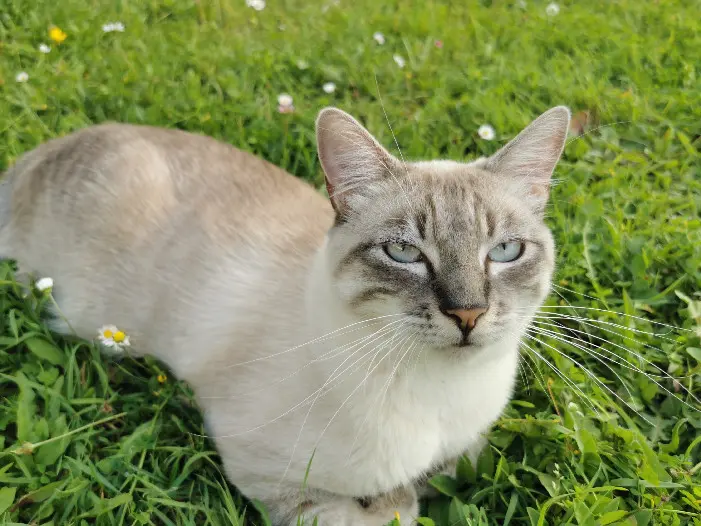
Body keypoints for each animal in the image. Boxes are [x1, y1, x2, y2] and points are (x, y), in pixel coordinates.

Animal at [0, 105, 568, 524]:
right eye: (405, 252)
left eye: (506, 251)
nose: (468, 313)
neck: (443, 396)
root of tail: (38, 156)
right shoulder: (265, 467)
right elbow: (368, 512)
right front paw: (394, 504)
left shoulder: (466, 449)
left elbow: (446, 473)